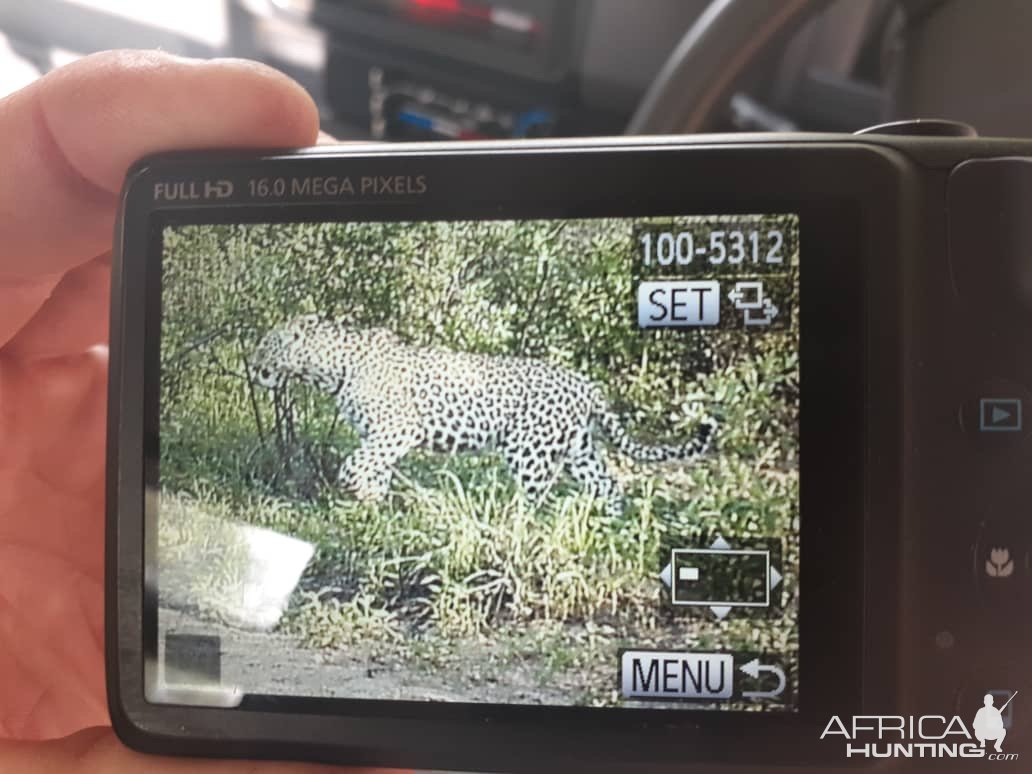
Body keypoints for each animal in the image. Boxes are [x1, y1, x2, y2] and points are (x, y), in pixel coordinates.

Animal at [251, 315, 718, 516]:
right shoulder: (383, 438)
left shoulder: (396, 429)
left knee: (535, 500)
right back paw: (611, 527)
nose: (252, 367)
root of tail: (585, 384)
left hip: (531, 452)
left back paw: (515, 529)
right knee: (608, 486)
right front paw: (372, 505)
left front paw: (360, 493)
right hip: (579, 451)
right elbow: (373, 469)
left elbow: (353, 464)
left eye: (264, 345)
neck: (330, 367)